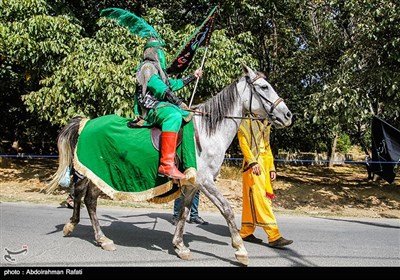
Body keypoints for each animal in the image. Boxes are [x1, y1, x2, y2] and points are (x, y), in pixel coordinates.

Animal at [47, 64, 292, 266]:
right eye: (264, 87)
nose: (288, 114)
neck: (207, 132)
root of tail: (86, 123)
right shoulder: (205, 181)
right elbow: (228, 210)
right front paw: (240, 249)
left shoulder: (193, 184)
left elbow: (183, 213)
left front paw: (180, 246)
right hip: (94, 173)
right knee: (84, 197)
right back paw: (88, 232)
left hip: (100, 175)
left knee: (87, 198)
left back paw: (90, 233)